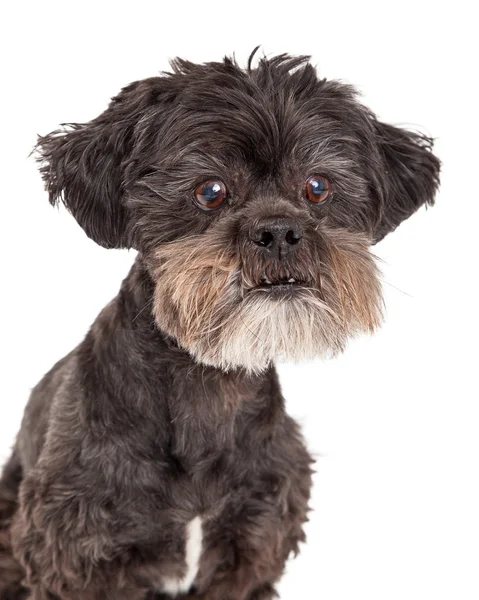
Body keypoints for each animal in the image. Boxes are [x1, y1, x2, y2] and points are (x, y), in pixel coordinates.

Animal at [0, 52, 440, 600]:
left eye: (317, 187)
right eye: (210, 191)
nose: (278, 231)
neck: (207, 382)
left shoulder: (253, 546)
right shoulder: (76, 556)